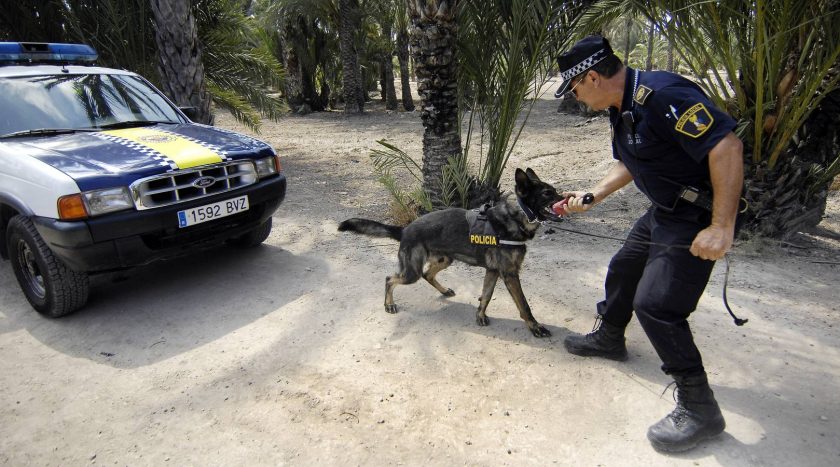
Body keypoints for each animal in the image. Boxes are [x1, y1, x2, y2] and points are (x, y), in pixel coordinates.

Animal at [336, 168, 564, 336]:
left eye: (555, 191)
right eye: (547, 194)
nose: (568, 199)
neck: (516, 217)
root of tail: (405, 229)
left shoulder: (493, 271)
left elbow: (486, 295)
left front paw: (480, 315)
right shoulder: (509, 274)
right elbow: (524, 304)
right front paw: (535, 327)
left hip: (444, 260)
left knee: (427, 274)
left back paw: (444, 291)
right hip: (412, 272)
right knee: (390, 278)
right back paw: (389, 304)